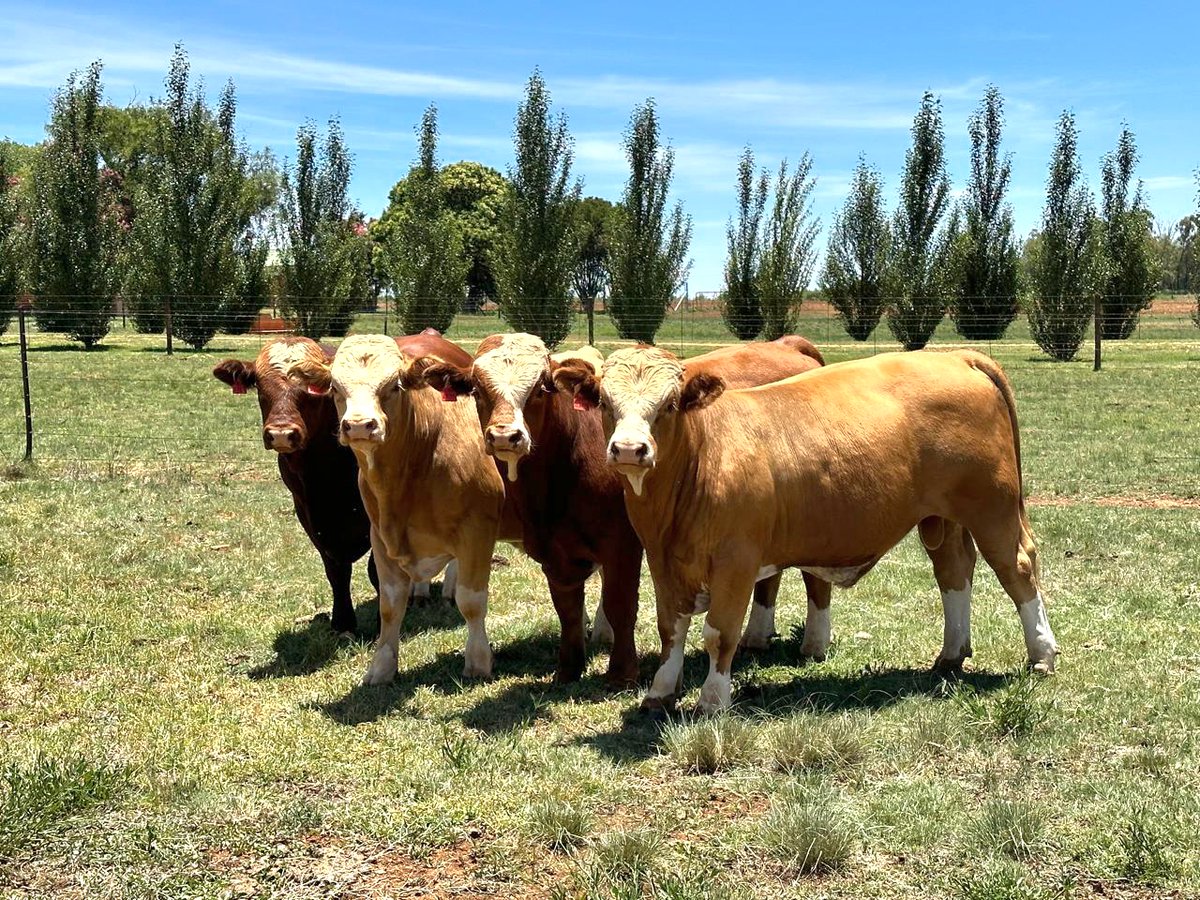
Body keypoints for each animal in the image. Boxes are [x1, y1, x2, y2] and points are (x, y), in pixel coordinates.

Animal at [213, 333, 464, 635]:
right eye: (260, 386)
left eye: (312, 391)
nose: (282, 433)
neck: (323, 471)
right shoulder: (309, 514)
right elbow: (335, 570)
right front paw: (343, 623)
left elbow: (375, 571)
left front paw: (381, 621)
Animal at [285, 332, 510, 685]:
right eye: (335, 387)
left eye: (394, 386)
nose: (359, 426)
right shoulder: (379, 535)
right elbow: (389, 605)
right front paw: (381, 668)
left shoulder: (477, 529)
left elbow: (472, 601)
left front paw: (478, 662)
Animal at [417, 334, 826, 687]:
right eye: (477, 389)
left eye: (539, 388)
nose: (505, 436)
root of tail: (787, 344)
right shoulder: (553, 550)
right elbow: (567, 608)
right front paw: (569, 667)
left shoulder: (622, 543)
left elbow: (620, 604)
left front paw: (622, 673)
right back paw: (757, 635)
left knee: (812, 575)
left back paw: (812, 643)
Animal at [555, 347, 1058, 714]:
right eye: (605, 401)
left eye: (670, 404)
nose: (629, 449)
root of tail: (956, 355)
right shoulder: (662, 561)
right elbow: (669, 630)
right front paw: (660, 691)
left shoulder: (736, 563)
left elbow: (719, 633)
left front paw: (712, 701)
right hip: (943, 518)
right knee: (953, 572)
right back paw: (951, 655)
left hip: (992, 508)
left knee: (1017, 570)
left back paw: (1041, 654)